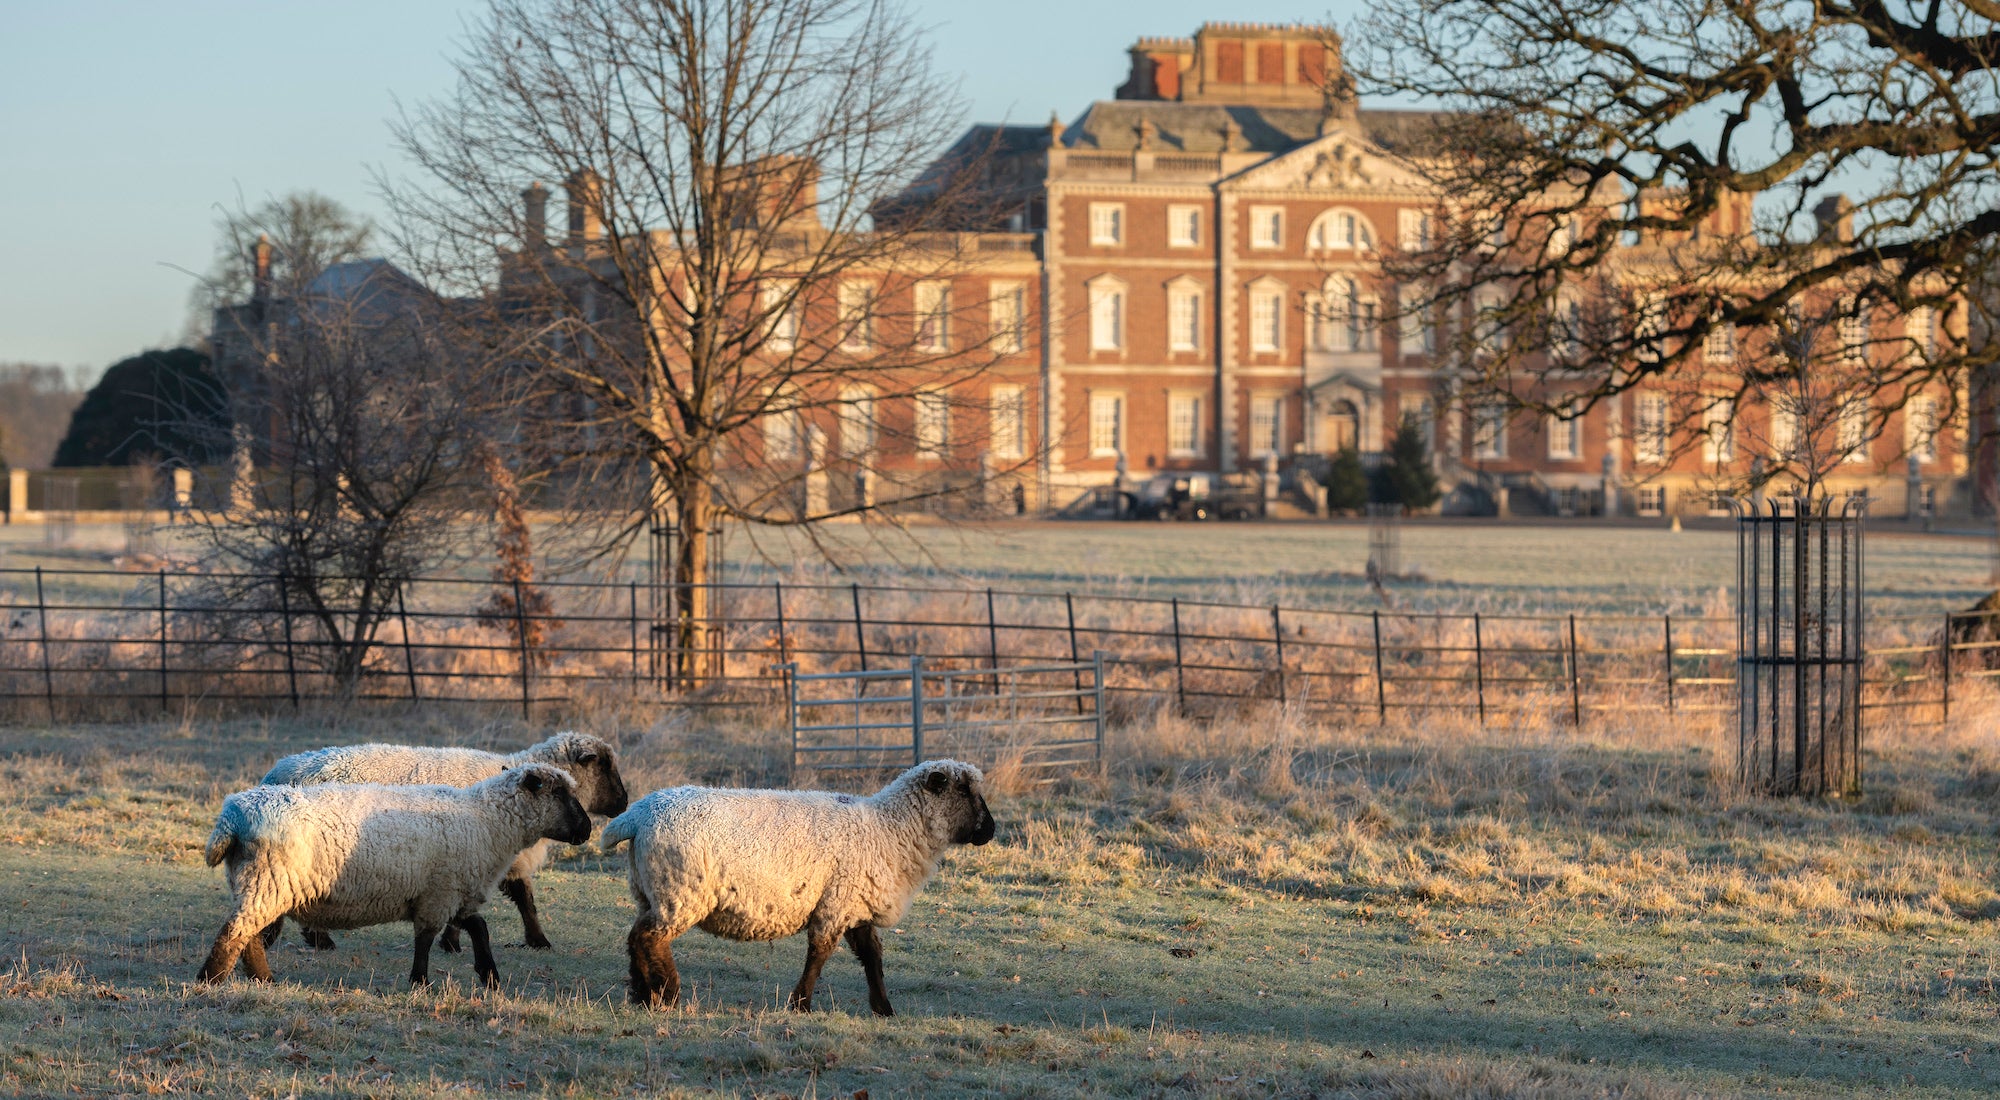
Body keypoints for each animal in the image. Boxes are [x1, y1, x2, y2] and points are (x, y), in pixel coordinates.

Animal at [197, 764, 593, 989]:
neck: (487, 820)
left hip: (256, 884)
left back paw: (261, 978)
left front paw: (489, 976)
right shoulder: (439, 893)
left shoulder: (453, 892)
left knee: (246, 935)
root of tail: (232, 816)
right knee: (234, 932)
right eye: (559, 792)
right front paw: (421, 981)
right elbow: (426, 938)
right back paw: (211, 979)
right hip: (270, 882)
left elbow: (479, 927)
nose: (587, 830)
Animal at [259, 731, 628, 951]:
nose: (625, 803)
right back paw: (312, 938)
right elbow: (525, 900)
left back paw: (313, 938)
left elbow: (520, 899)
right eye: (605, 766)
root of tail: (277, 773)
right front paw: (537, 940)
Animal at [600, 758, 995, 1016]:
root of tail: (636, 816)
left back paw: (643, 994)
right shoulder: (835, 905)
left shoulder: (854, 906)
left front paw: (884, 1008)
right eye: (964, 790)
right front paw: (801, 1004)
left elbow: (873, 958)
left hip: (649, 890)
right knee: (650, 938)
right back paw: (668, 992)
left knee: (635, 937)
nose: (991, 830)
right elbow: (819, 956)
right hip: (680, 892)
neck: (888, 828)